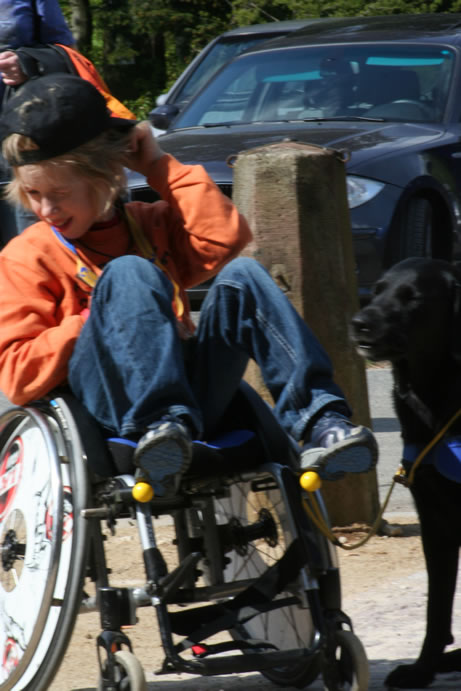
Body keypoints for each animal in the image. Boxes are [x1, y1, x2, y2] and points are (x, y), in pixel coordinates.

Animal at [350, 257, 461, 689]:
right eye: (376, 290)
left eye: (412, 297)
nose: (359, 322)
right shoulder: (434, 518)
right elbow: (436, 608)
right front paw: (422, 668)